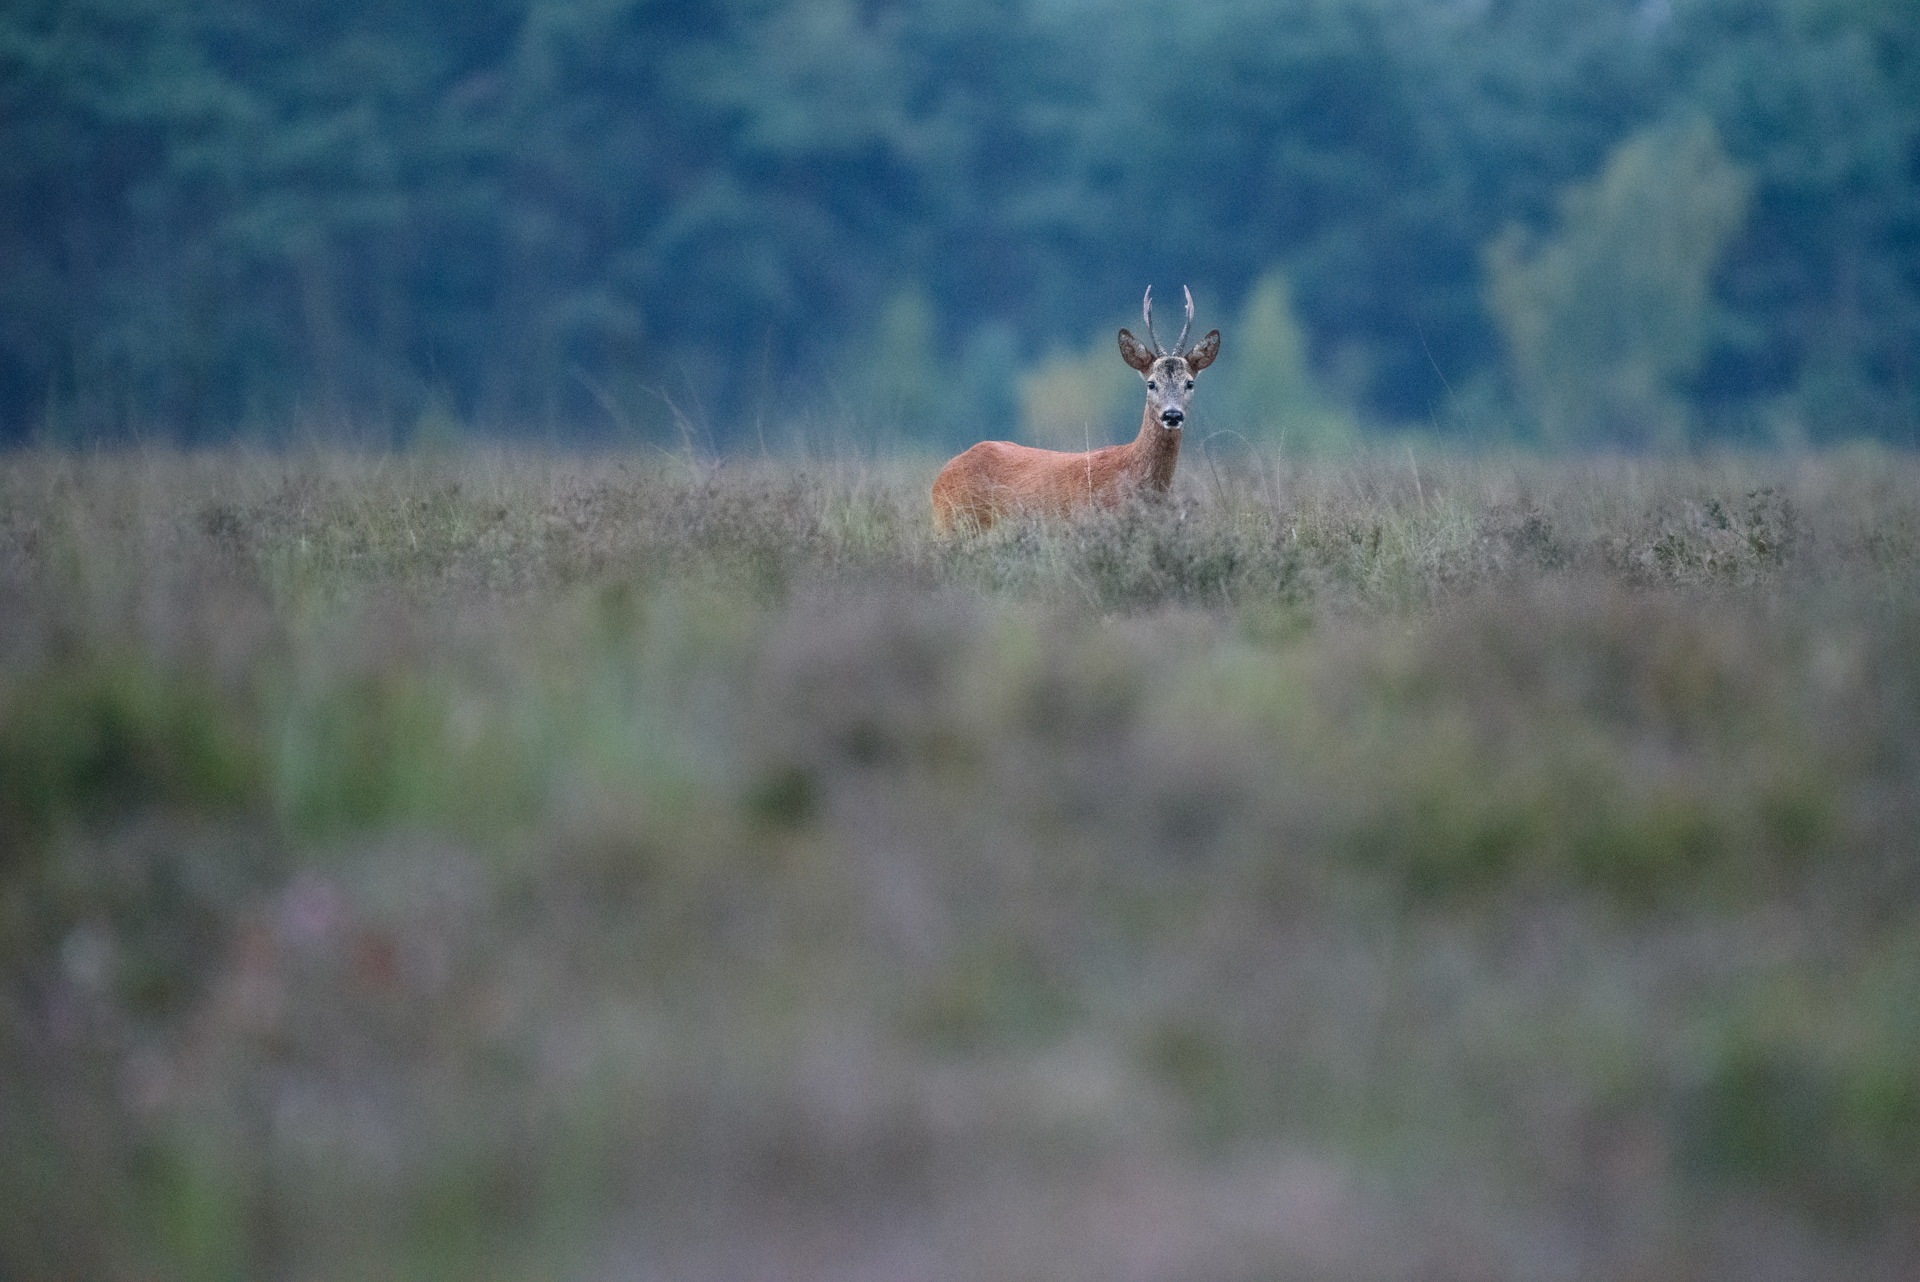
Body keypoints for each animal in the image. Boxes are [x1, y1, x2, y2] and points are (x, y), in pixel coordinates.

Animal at [931, 286, 1220, 532]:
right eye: (1151, 383)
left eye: (1189, 383)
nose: (1172, 415)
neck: (1130, 474)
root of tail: (939, 479)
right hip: (951, 526)